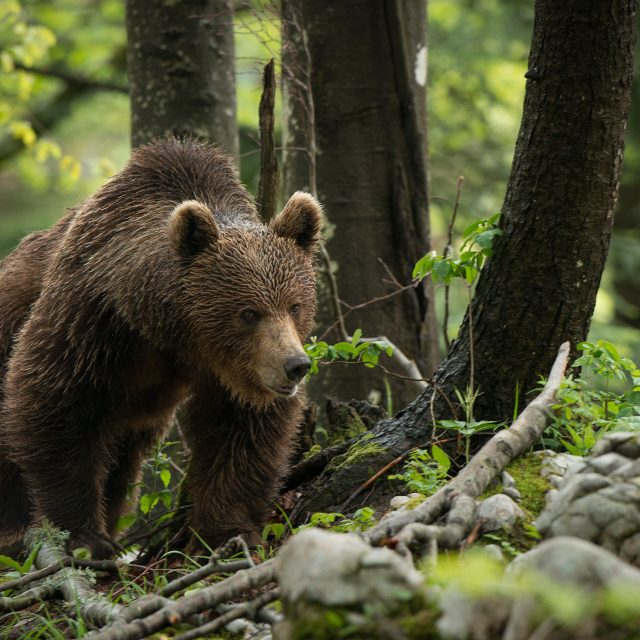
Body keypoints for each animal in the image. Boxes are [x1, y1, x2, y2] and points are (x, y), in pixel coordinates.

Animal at [0, 138, 320, 556]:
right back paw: (14, 532)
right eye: (248, 312)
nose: (295, 365)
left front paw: (226, 533)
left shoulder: (234, 370)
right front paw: (84, 536)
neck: (172, 334)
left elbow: (241, 430)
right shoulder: (91, 319)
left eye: (295, 305)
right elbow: (54, 403)